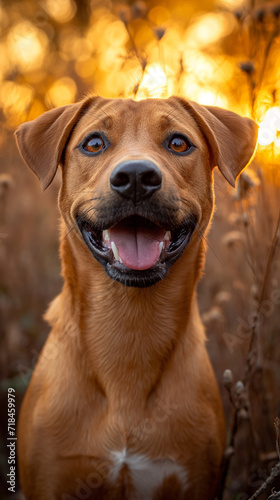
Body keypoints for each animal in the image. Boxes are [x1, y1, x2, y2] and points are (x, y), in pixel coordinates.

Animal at [14, 94, 258, 500]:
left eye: (179, 143)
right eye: (94, 143)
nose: (136, 178)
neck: (129, 324)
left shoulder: (193, 475)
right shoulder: (53, 476)